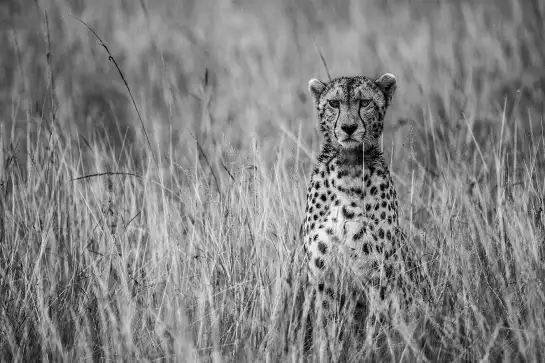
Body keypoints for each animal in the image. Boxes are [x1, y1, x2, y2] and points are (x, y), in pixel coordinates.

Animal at [300, 73, 428, 356]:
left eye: (365, 102)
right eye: (334, 103)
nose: (348, 128)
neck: (348, 166)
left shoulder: (378, 276)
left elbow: (375, 331)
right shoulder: (324, 278)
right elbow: (327, 329)